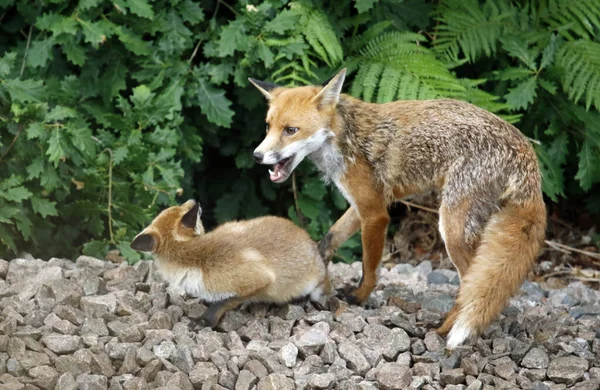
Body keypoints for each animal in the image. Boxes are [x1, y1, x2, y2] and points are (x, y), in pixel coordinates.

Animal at [129, 200, 332, 328]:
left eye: (181, 206)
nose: (194, 200)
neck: (194, 260)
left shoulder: (259, 278)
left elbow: (223, 302)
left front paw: (205, 320)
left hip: (314, 285)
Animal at [246, 68, 548, 348]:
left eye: (291, 130)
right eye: (268, 126)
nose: (257, 156)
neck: (344, 136)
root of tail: (528, 156)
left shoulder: (376, 214)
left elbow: (369, 266)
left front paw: (357, 298)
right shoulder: (364, 202)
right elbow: (328, 240)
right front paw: (315, 277)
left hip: (451, 227)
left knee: (469, 285)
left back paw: (442, 331)